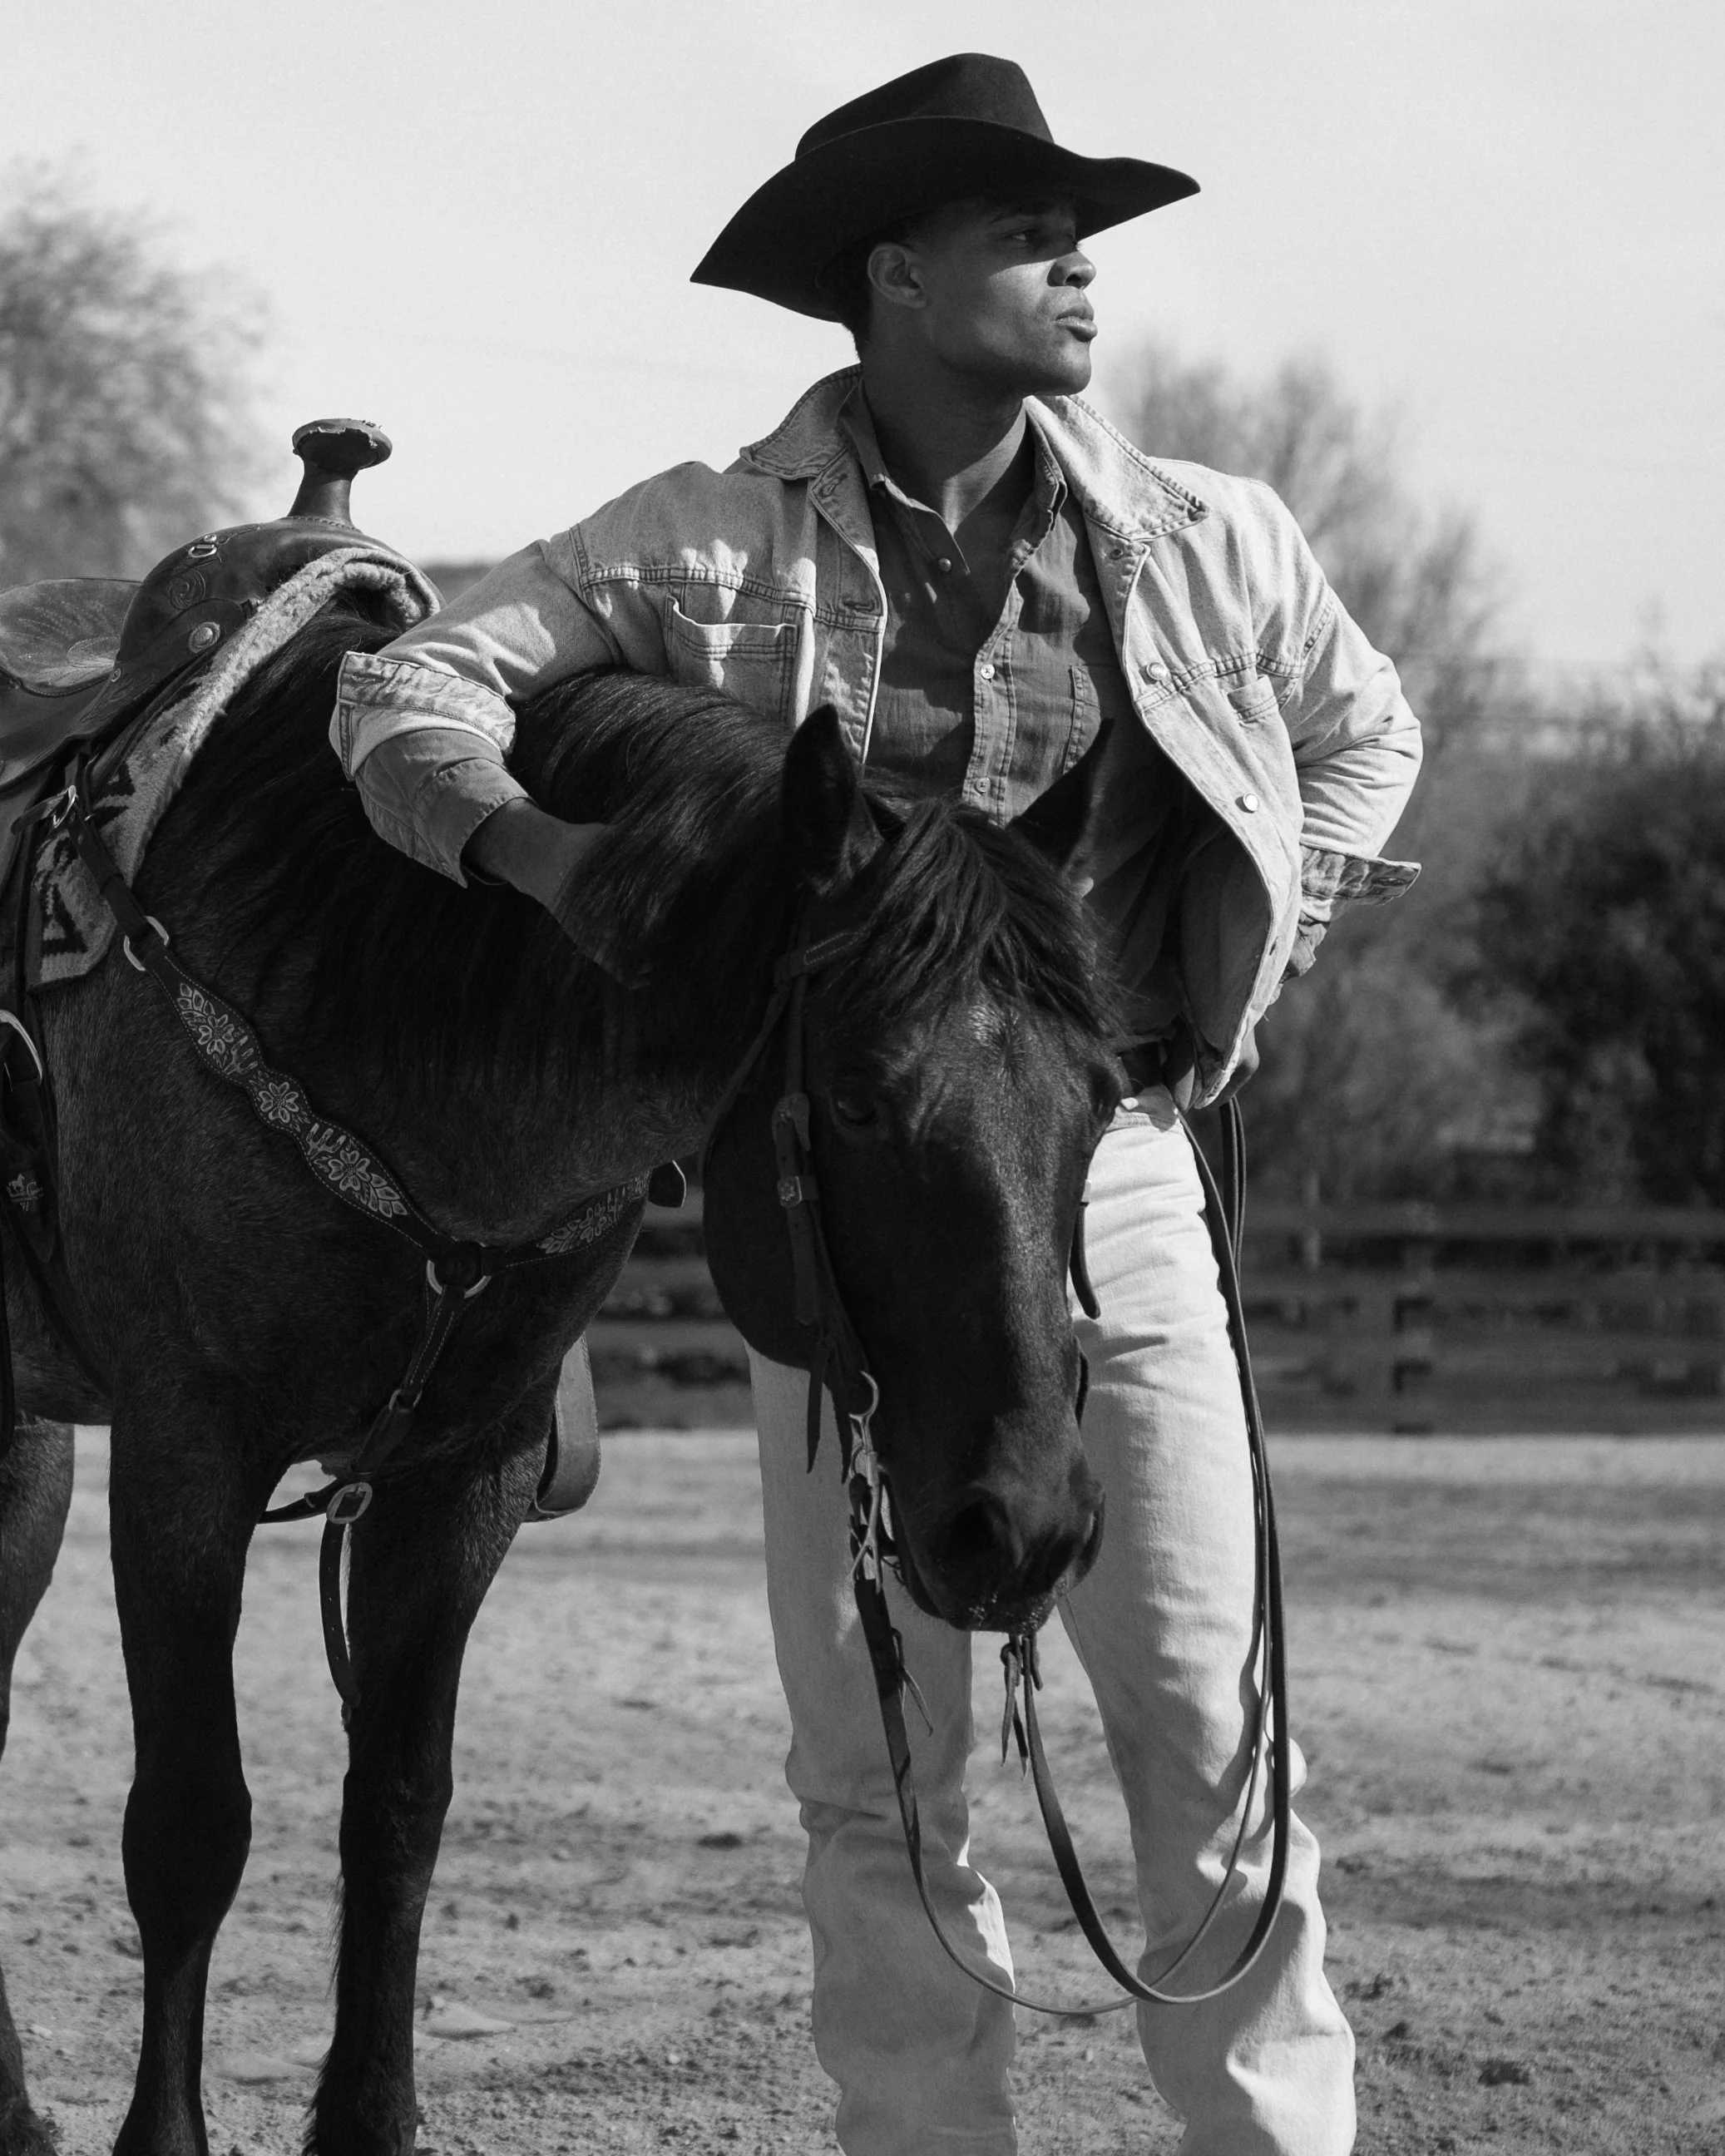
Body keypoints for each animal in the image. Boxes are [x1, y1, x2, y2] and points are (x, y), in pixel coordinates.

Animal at [0, 608, 1123, 2154]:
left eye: (1104, 1100)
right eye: (852, 1100)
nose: (1025, 1524)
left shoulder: (459, 1478)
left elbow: (397, 1808)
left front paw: (370, 2120)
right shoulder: (185, 1457)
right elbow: (187, 1822)